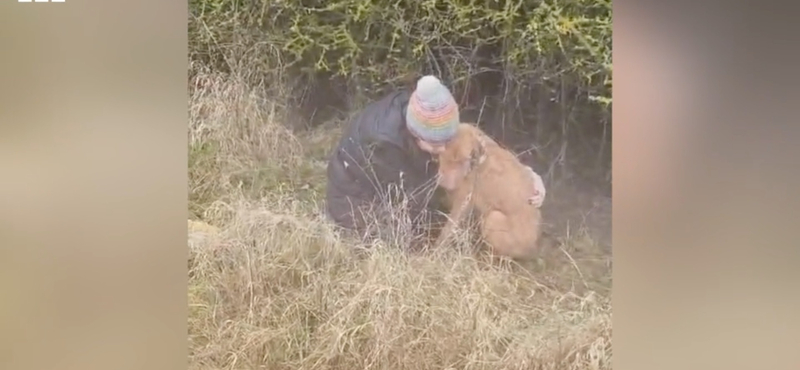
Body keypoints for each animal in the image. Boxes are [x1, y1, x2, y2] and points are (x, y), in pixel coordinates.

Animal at [434, 124, 548, 260]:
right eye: (446, 157)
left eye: (459, 162)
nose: (445, 180)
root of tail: (534, 248)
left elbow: (456, 217)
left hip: (504, 231)